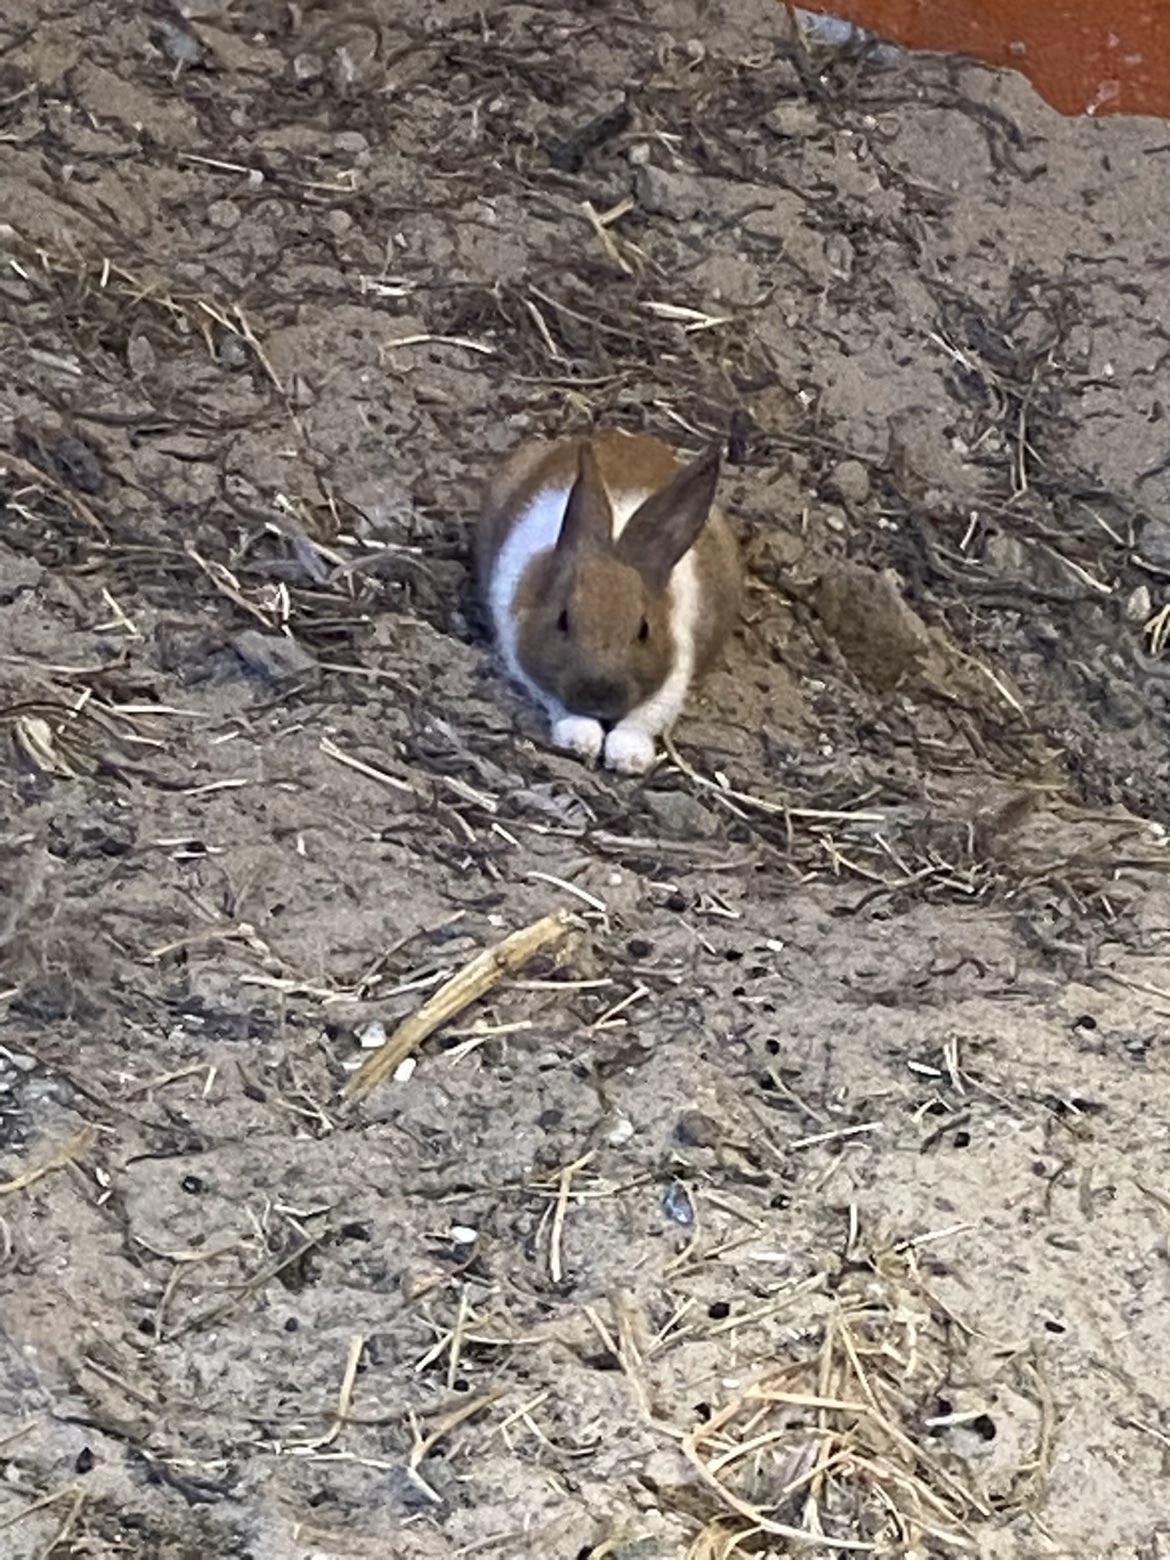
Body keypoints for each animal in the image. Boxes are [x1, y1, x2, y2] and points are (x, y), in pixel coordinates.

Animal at [476, 428, 741, 774]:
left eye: (644, 630)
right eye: (563, 619)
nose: (599, 694)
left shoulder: (674, 675)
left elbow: (642, 719)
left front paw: (628, 757)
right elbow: (559, 704)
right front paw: (581, 739)